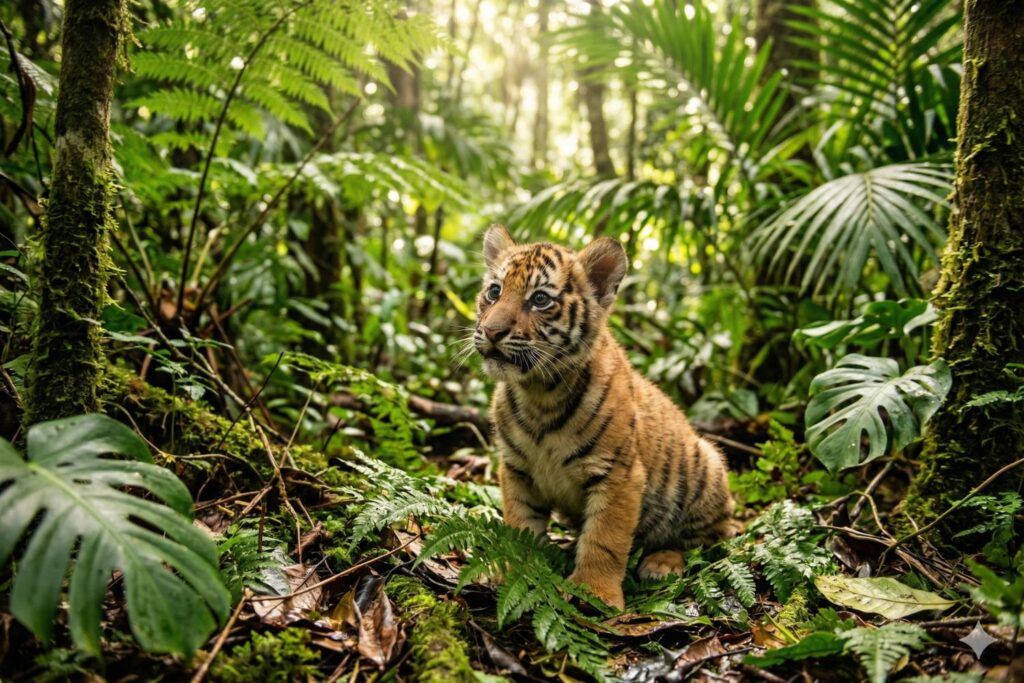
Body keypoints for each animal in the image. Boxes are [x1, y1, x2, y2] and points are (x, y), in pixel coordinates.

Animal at [473, 225, 738, 610]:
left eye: (540, 299)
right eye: (494, 292)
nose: (492, 331)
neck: (539, 393)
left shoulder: (617, 473)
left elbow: (605, 538)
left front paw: (594, 592)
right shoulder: (517, 470)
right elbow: (520, 524)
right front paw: (514, 571)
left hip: (707, 466)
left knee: (704, 539)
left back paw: (662, 562)